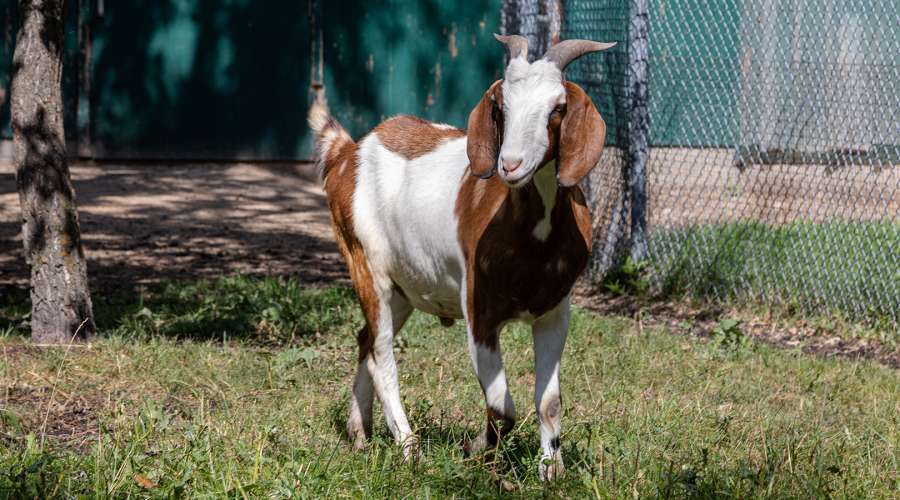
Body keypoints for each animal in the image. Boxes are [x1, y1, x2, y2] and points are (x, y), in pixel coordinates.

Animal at [308, 34, 614, 480]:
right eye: (501, 106)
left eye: (557, 108)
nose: (510, 165)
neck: (532, 238)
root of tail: (348, 153)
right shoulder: (479, 311)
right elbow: (502, 407)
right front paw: (474, 450)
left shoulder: (555, 312)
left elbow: (549, 402)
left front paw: (551, 470)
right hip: (365, 264)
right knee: (382, 354)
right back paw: (408, 447)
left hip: (405, 287)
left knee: (365, 339)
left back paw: (359, 432)